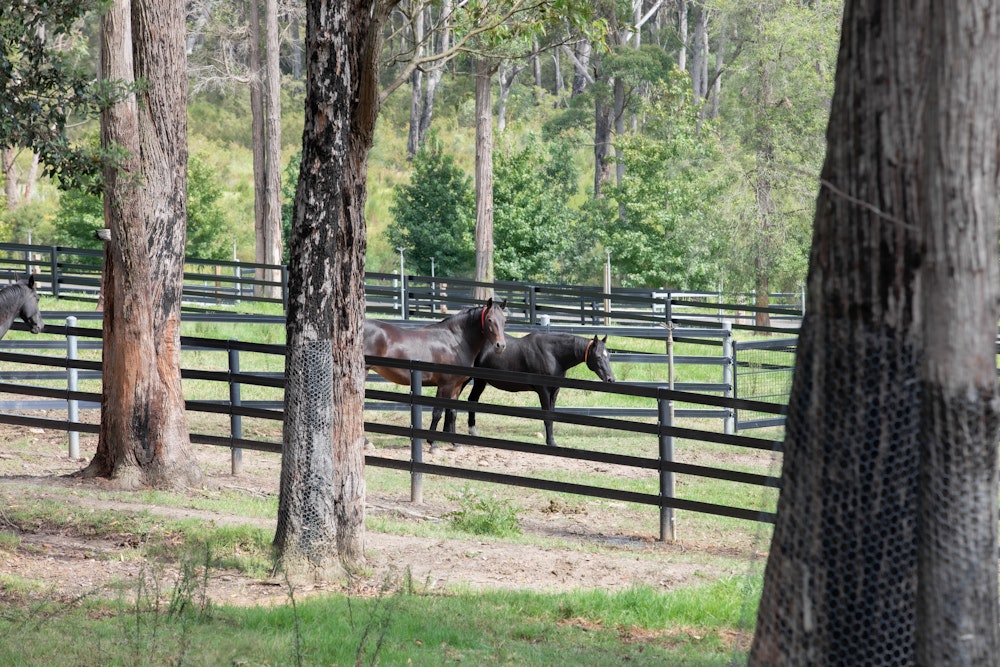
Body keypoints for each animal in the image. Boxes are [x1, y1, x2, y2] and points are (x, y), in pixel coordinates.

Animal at [366, 300, 508, 446]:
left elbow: (452, 412)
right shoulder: (445, 385)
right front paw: (432, 443)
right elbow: (438, 412)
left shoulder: (456, 386)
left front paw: (455, 444)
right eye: (489, 319)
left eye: (504, 320)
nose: (500, 346)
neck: (454, 341)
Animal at [456, 334, 612, 448]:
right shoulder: (543, 391)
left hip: (480, 381)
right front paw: (551, 443)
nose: (611, 379)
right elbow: (547, 418)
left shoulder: (554, 391)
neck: (553, 354)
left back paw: (473, 433)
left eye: (608, 356)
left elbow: (552, 416)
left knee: (472, 400)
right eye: (598, 356)